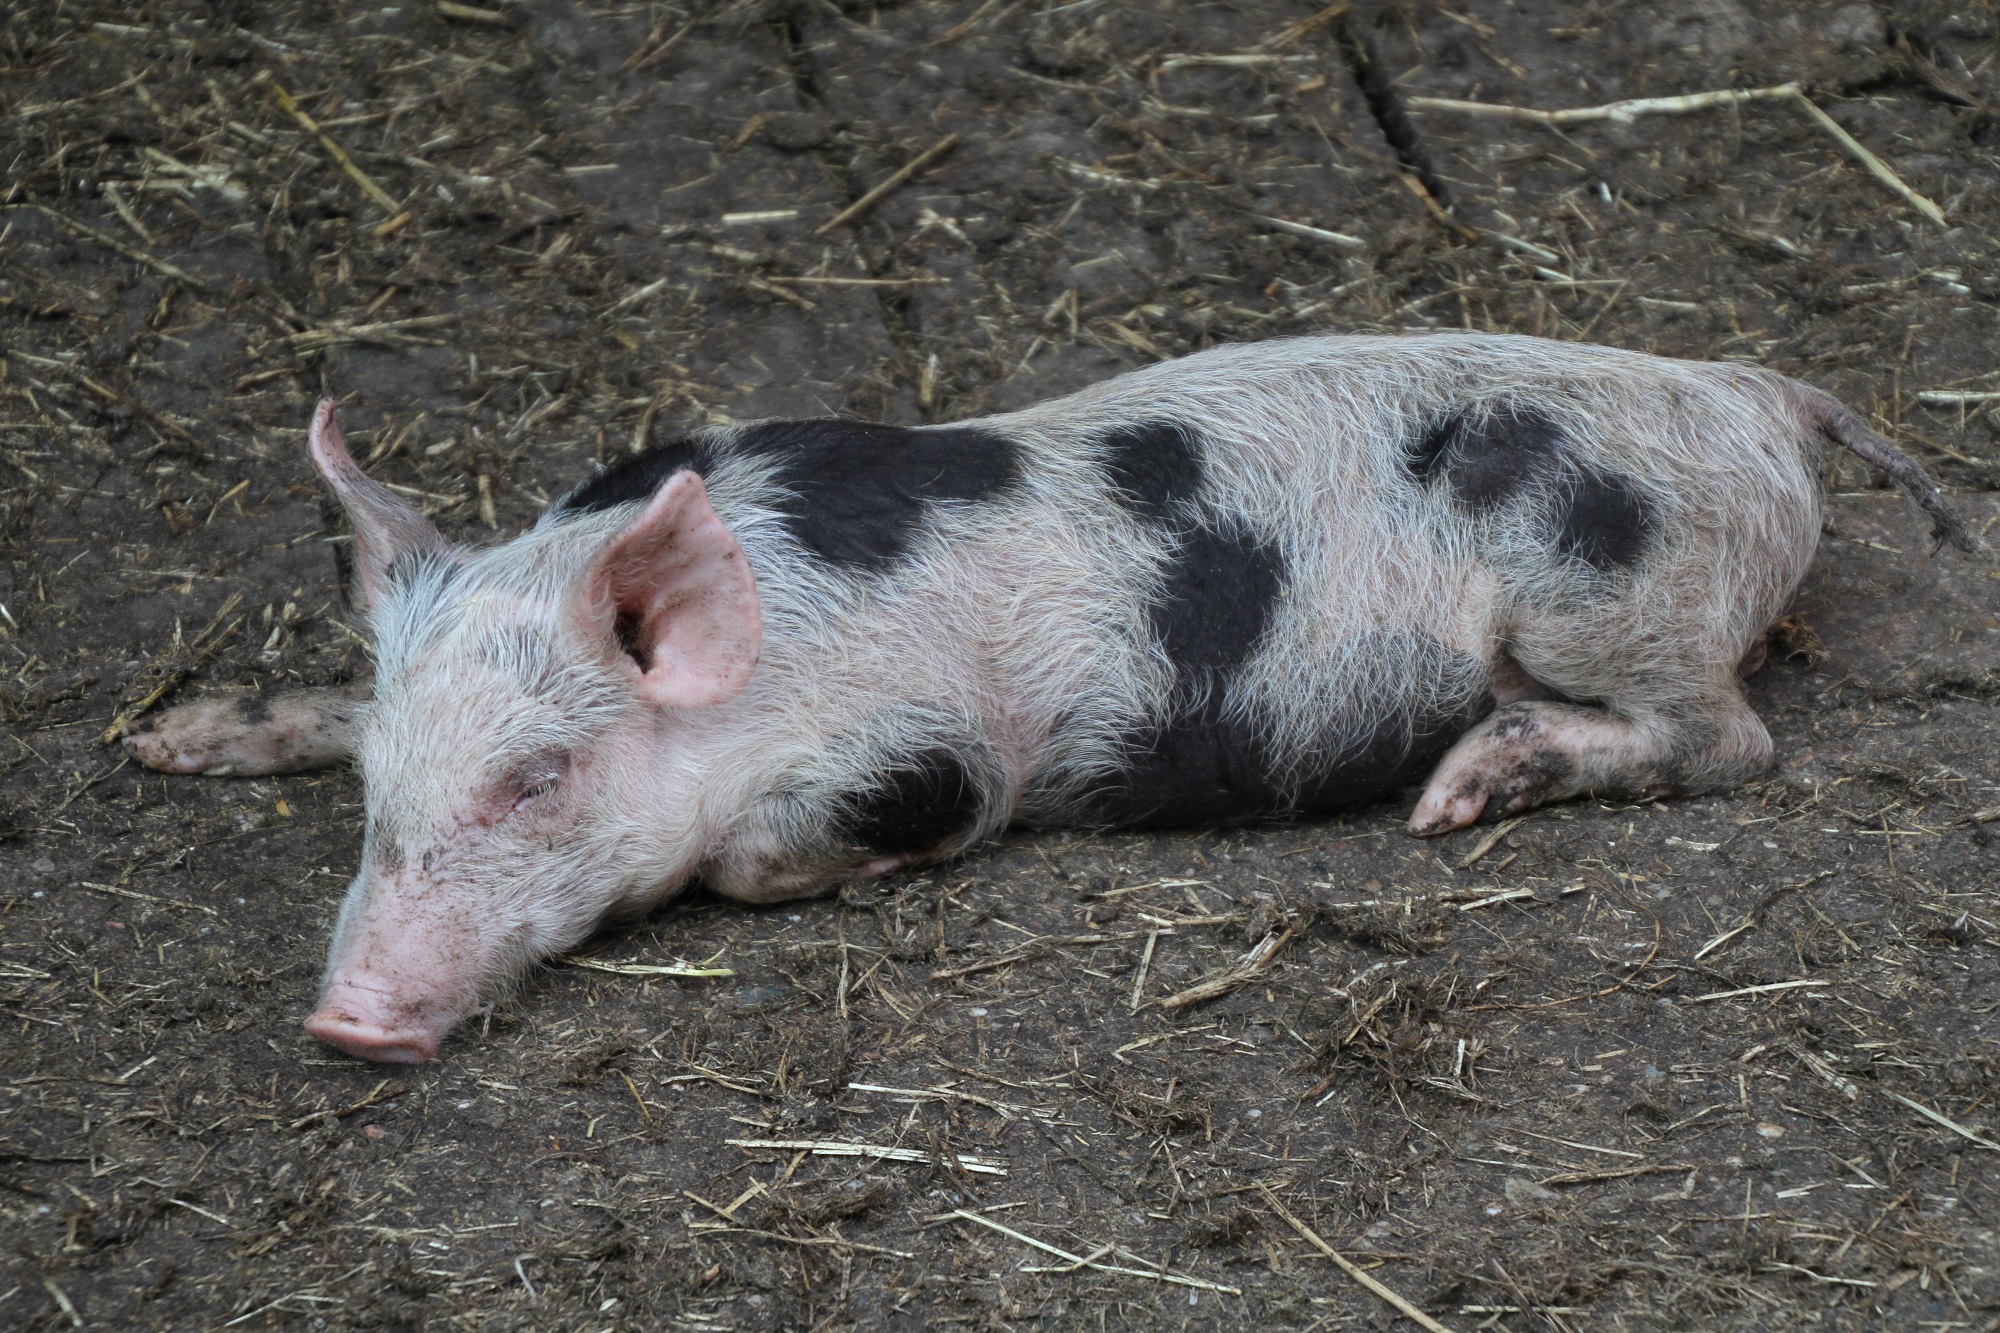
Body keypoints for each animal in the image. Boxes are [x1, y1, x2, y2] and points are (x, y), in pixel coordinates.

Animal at [129, 330, 1984, 1056]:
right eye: (382, 788)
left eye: (538, 778)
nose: (346, 1020)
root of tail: (1760, 396)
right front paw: (168, 739)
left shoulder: (940, 756)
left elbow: (771, 852)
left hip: (1615, 595)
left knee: (1731, 740)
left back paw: (1464, 787)